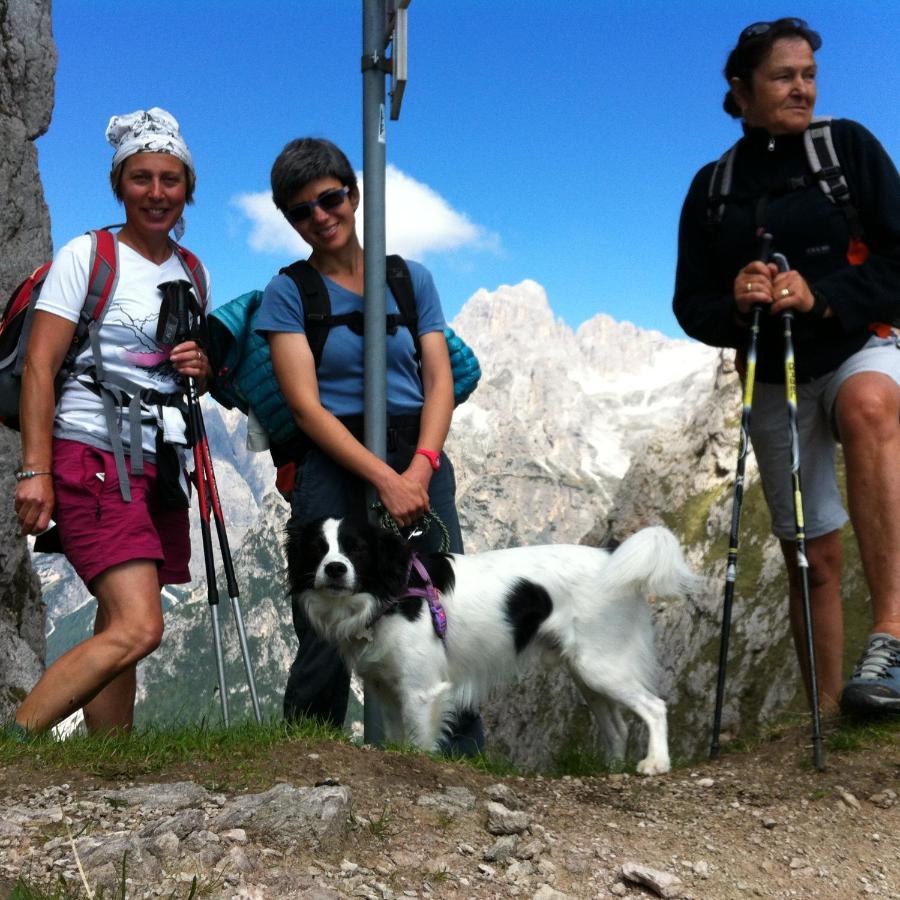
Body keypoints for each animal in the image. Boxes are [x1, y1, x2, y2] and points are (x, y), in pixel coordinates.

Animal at [290, 512, 704, 772]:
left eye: (356, 548)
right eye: (317, 549)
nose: (335, 569)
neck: (390, 595)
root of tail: (611, 557)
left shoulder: (422, 691)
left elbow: (419, 742)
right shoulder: (387, 689)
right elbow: (396, 739)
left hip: (602, 666)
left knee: (655, 707)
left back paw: (656, 763)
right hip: (589, 674)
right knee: (617, 728)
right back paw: (611, 769)